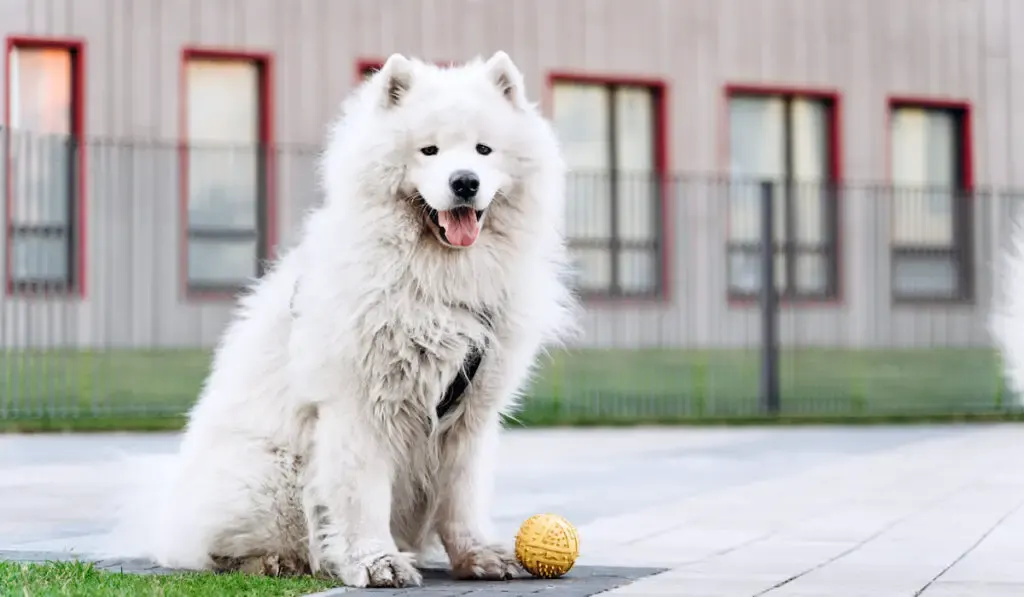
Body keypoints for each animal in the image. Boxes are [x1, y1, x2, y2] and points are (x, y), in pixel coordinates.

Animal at [114, 52, 577, 589]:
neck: (438, 281)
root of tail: (166, 517)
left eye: (484, 150)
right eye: (430, 150)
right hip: (271, 478)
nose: (465, 182)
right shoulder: (360, 407)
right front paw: (375, 562)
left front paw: (478, 555)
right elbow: (362, 497)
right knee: (221, 551)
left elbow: (461, 497)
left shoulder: (471, 414)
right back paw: (276, 562)